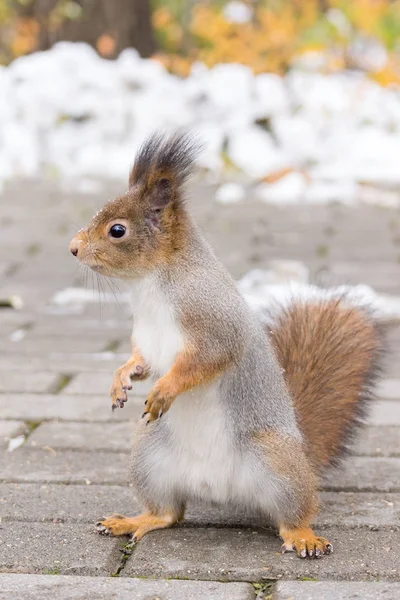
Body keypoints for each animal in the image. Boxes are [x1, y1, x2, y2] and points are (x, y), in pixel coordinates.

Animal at [69, 131, 384, 556]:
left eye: (117, 230)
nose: (72, 247)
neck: (151, 285)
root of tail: (220, 490)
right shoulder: (147, 338)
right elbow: (141, 361)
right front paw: (121, 380)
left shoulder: (215, 324)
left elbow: (202, 362)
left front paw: (163, 390)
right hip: (149, 460)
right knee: (168, 514)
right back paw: (133, 520)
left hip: (277, 463)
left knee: (294, 514)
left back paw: (304, 537)